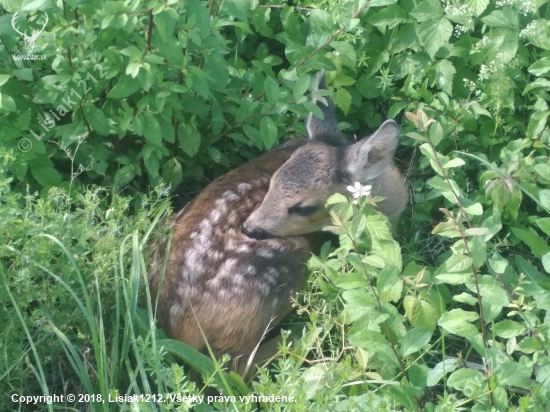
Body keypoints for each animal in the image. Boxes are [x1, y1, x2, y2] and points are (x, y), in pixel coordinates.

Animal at [151, 71, 410, 376]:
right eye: (272, 181)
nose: (249, 228)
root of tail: (175, 323)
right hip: (281, 270)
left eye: (304, 208)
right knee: (237, 368)